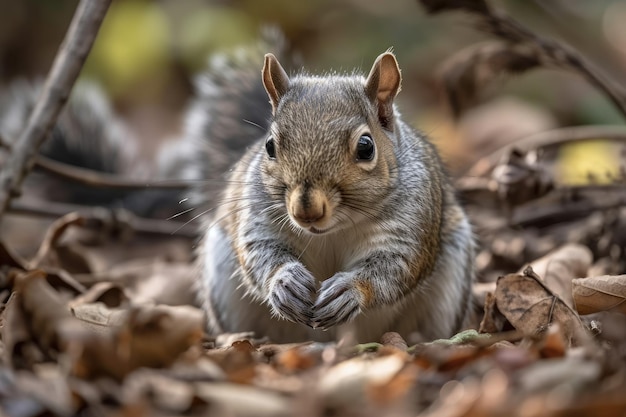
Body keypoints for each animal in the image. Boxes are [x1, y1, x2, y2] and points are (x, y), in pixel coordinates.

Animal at [190, 33, 472, 344]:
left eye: (366, 147)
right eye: (270, 146)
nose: (306, 211)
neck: (334, 230)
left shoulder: (412, 222)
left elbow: (395, 267)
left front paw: (350, 289)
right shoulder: (258, 215)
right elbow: (260, 251)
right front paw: (284, 281)